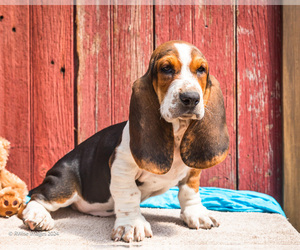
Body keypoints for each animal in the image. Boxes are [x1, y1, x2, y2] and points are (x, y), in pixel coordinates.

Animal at [21, 40, 229, 242]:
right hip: (64, 185)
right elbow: (130, 195)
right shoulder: (122, 166)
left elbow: (189, 191)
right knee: (37, 197)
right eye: (166, 68)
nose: (191, 98)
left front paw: (197, 214)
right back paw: (38, 217)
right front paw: (132, 225)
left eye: (201, 69)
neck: (176, 133)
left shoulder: (192, 170)